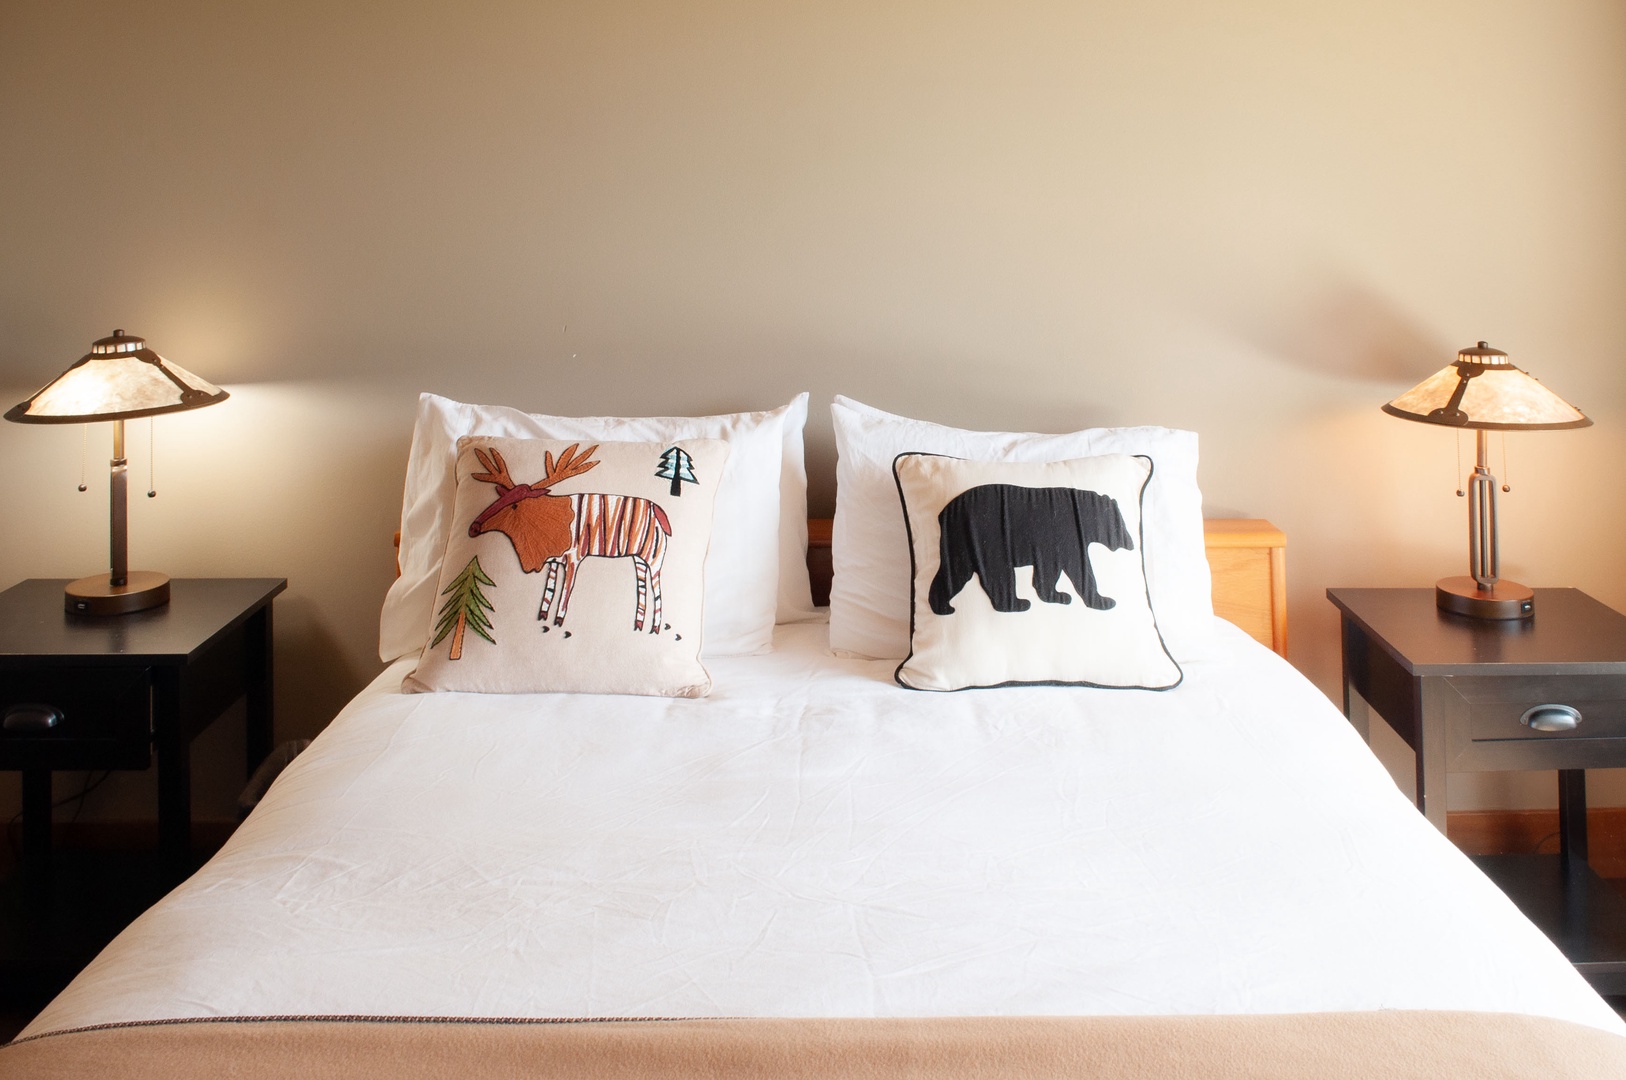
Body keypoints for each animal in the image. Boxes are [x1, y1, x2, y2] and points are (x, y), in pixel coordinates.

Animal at [927, 484, 1134, 616]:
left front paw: (1058, 595)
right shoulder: (1066, 535)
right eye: (1120, 523)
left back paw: (943, 607)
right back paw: (1017, 604)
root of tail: (942, 513)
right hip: (987, 535)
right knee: (997, 571)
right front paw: (1104, 600)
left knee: (955, 572)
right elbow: (1078, 569)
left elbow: (1050, 570)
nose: (1131, 543)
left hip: (959, 542)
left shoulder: (1054, 545)